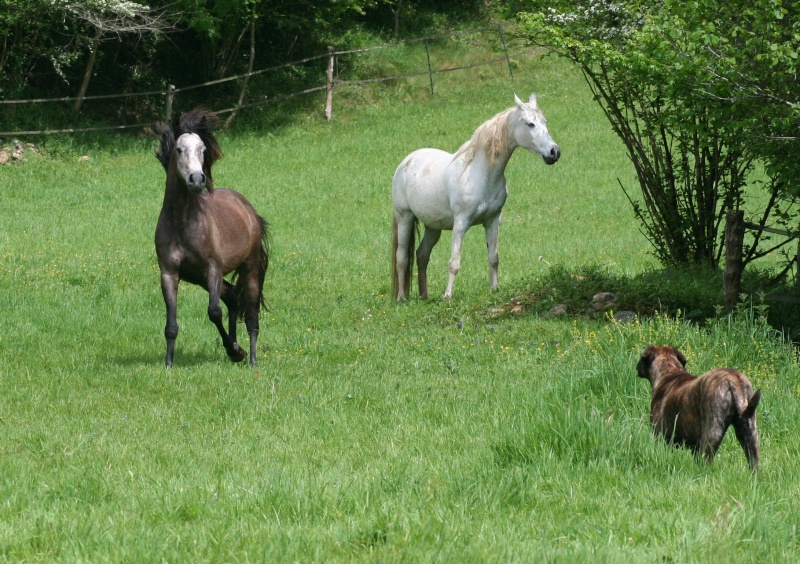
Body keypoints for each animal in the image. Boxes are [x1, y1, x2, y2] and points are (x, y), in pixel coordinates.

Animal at [153, 109, 272, 366]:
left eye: (203, 149)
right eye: (179, 149)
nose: (197, 180)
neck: (182, 223)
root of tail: (249, 211)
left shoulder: (213, 269)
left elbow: (214, 312)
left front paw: (235, 351)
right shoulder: (169, 273)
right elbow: (171, 324)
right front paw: (168, 363)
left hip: (248, 268)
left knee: (251, 314)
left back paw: (251, 358)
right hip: (198, 278)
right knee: (234, 297)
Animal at [390, 93, 560, 300]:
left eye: (545, 121)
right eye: (530, 124)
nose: (554, 152)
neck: (481, 174)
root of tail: (407, 161)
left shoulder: (493, 220)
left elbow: (493, 258)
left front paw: (494, 289)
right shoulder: (461, 223)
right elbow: (454, 262)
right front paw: (447, 297)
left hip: (433, 226)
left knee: (422, 255)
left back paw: (424, 296)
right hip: (404, 218)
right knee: (402, 258)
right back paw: (401, 298)